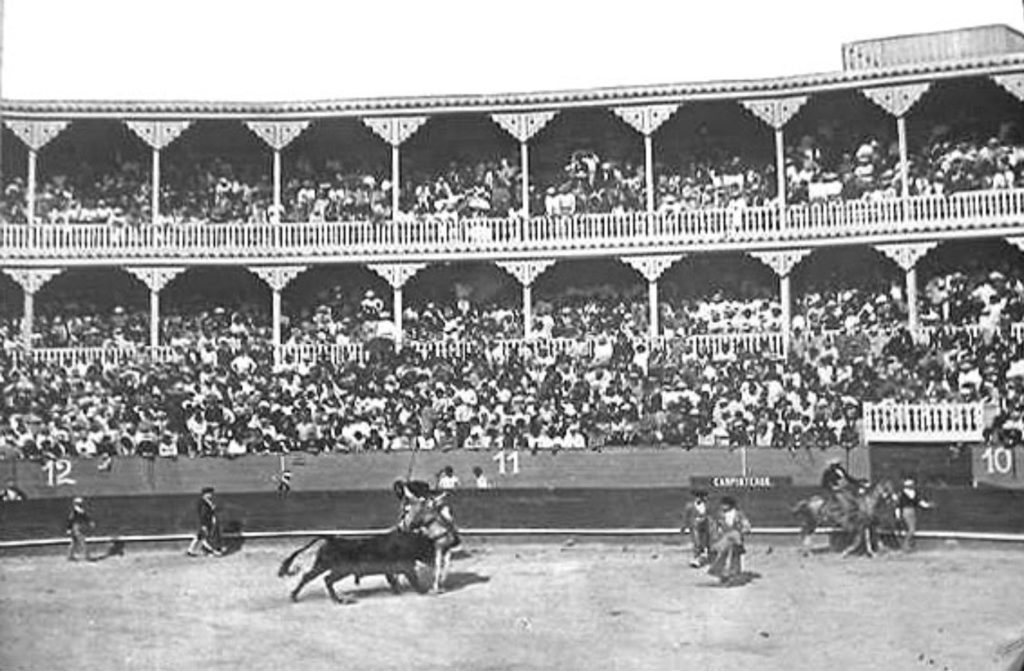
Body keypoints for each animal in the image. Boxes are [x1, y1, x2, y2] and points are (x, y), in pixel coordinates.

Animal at [278, 528, 434, 602]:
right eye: (428, 547)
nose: (434, 561)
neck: (408, 543)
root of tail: (331, 539)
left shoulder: (389, 570)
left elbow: (392, 580)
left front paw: (397, 591)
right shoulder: (408, 568)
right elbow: (413, 580)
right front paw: (423, 591)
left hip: (323, 565)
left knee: (308, 576)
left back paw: (294, 596)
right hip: (339, 570)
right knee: (326, 579)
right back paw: (337, 599)